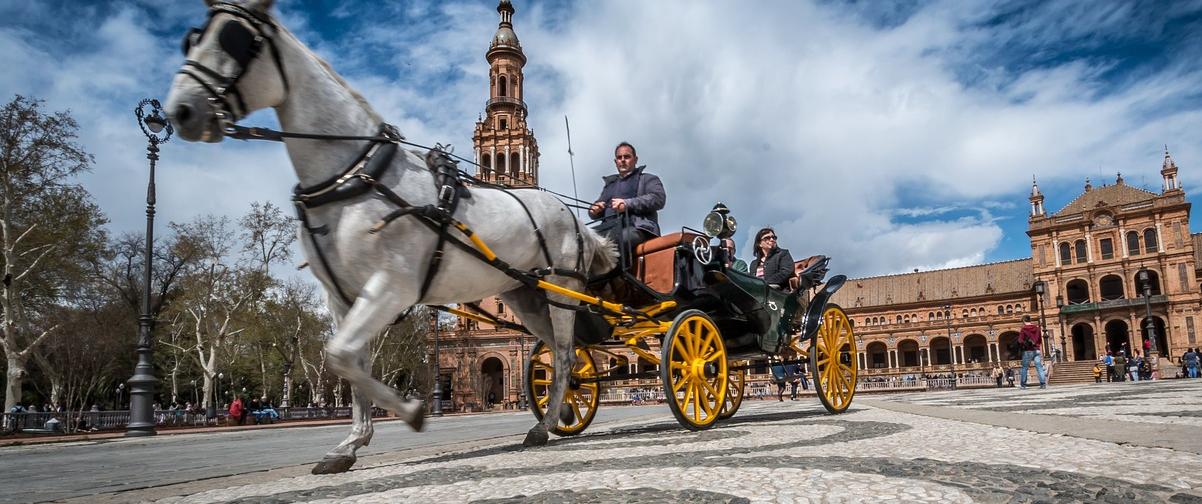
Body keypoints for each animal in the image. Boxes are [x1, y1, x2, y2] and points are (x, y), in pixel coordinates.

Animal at [164, 0, 615, 473]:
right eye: (192, 39)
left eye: (233, 38)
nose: (181, 110)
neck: (355, 175)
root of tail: (572, 219)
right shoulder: (344, 298)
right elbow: (347, 361)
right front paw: (352, 443)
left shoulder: (391, 286)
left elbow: (343, 357)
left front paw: (410, 412)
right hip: (526, 297)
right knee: (562, 353)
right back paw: (556, 415)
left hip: (561, 290)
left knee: (563, 353)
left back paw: (543, 426)